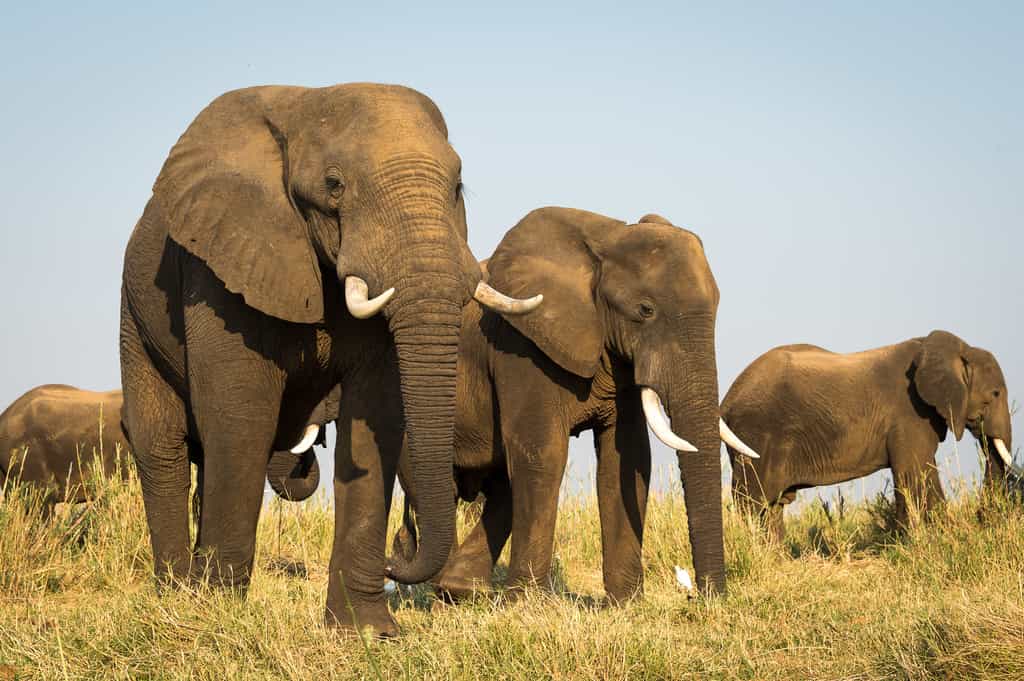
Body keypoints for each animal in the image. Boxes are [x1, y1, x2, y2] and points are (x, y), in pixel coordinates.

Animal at [118, 83, 537, 634]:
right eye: (334, 185)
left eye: (458, 185)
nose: (397, 557)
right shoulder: (220, 266)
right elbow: (239, 415)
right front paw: (219, 618)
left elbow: (375, 417)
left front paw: (368, 632)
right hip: (134, 315)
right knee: (162, 446)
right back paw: (177, 597)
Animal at [394, 207, 758, 601]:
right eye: (645, 310)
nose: (702, 596)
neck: (606, 240)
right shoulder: (521, 346)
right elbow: (543, 453)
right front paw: (529, 602)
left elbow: (626, 457)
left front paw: (624, 603)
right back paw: (445, 595)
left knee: (501, 486)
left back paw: (460, 588)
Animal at [722, 330, 1015, 540]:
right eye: (995, 394)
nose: (981, 518)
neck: (957, 350)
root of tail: (726, 400)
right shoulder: (909, 414)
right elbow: (913, 473)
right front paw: (921, 541)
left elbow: (921, 472)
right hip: (756, 436)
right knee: (752, 501)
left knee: (773, 506)